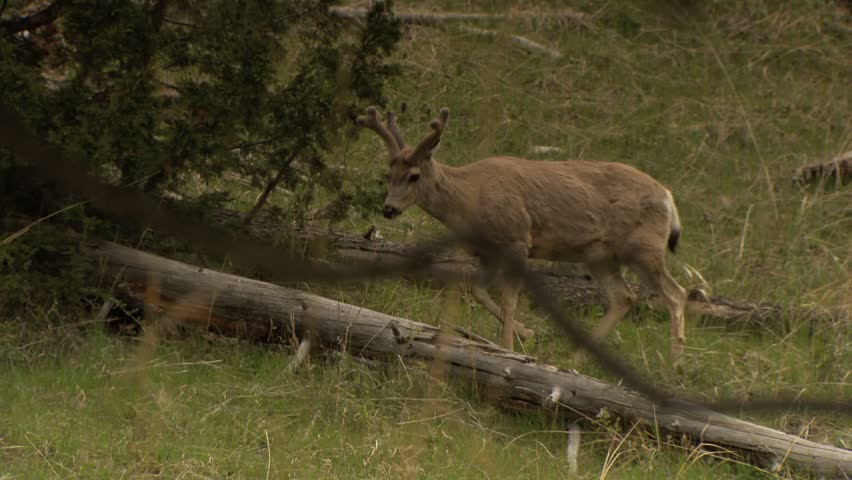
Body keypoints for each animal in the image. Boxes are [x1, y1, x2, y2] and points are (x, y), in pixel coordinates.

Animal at [357, 106, 688, 363]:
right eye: (388, 174)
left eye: (414, 176)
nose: (388, 208)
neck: (470, 196)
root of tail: (668, 197)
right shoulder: (488, 251)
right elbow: (476, 289)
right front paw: (527, 332)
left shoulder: (517, 238)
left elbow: (509, 300)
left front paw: (509, 349)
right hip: (600, 256)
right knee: (625, 297)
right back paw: (576, 358)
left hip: (644, 248)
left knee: (676, 294)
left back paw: (674, 363)